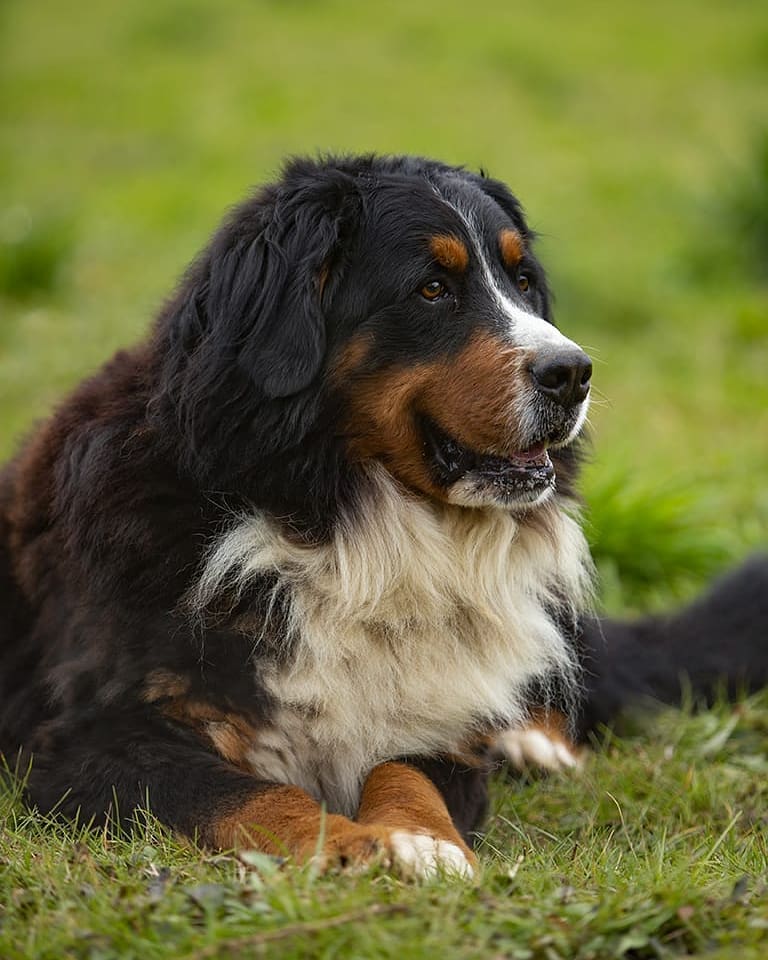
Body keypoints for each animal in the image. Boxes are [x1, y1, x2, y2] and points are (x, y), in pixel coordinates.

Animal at [1, 154, 768, 880]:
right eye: (432, 289)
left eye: (522, 281)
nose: (572, 372)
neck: (345, 525)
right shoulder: (90, 738)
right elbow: (248, 793)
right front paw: (348, 845)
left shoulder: (444, 714)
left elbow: (407, 769)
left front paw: (424, 841)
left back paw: (531, 742)